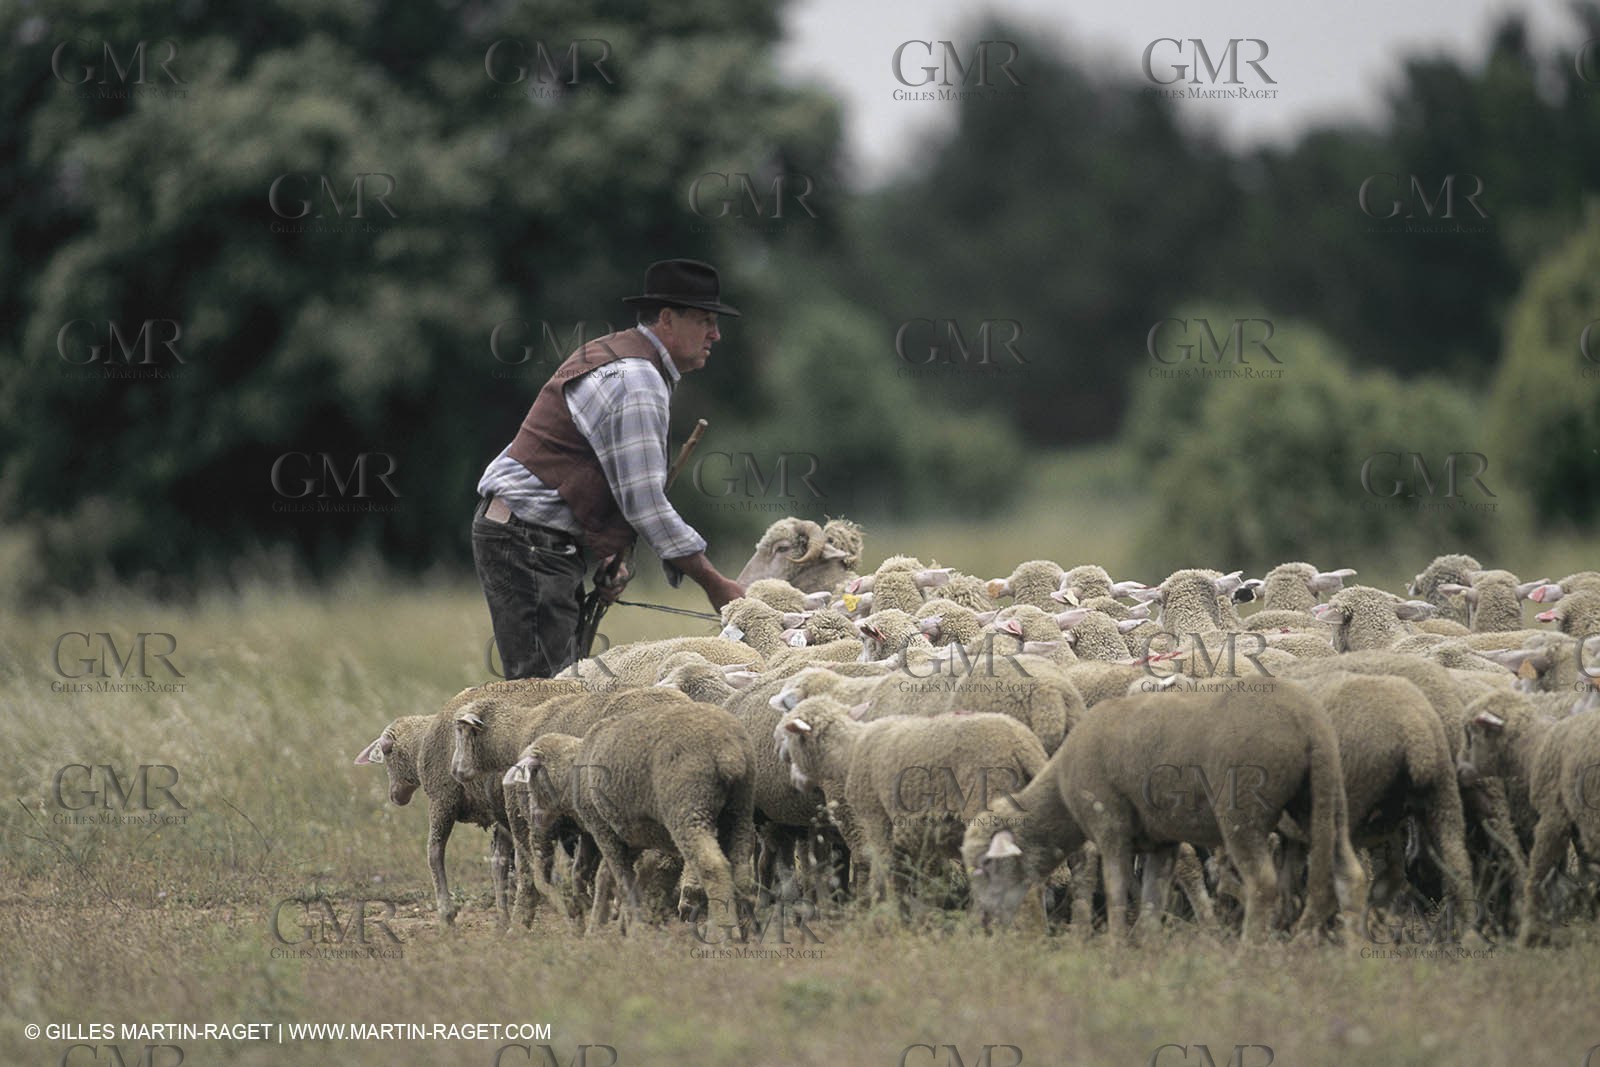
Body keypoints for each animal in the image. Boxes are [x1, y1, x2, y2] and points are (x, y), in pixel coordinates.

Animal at [518, 698, 758, 932]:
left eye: (533, 778)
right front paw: (602, 927)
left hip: (689, 809)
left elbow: (624, 880)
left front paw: (634, 927)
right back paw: (746, 929)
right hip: (739, 811)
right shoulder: (628, 837)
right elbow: (607, 877)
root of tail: (728, 751)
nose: (533, 816)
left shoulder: (604, 831)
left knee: (713, 866)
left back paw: (725, 932)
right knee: (741, 871)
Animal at [774, 696, 1048, 908]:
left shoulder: (877, 820)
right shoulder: (919, 834)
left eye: (789, 736)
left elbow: (887, 873)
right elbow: (927, 880)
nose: (792, 778)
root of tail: (1021, 745)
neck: (850, 751)